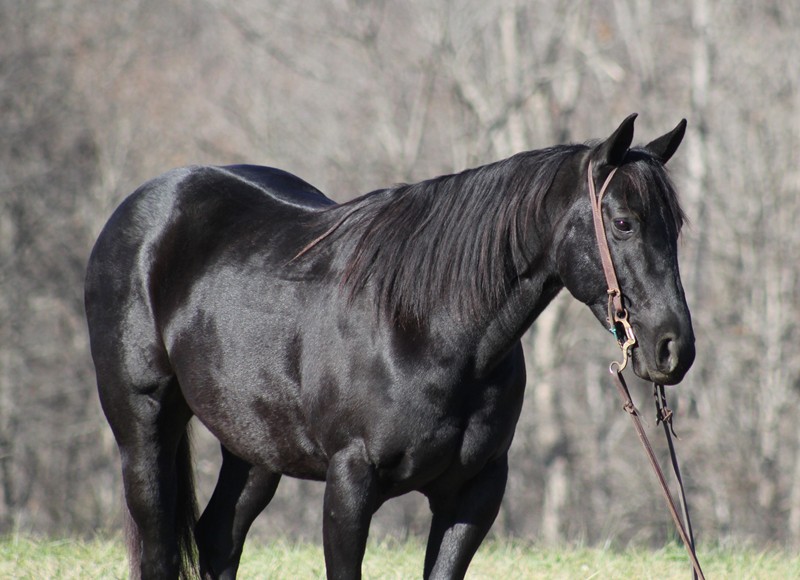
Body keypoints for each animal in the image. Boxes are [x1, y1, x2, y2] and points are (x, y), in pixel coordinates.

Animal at [83, 114, 692, 580]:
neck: (430, 331)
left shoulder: (473, 494)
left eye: (677, 228)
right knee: (160, 550)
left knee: (219, 538)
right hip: (144, 429)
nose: (674, 349)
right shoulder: (350, 485)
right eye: (623, 222)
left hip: (254, 446)